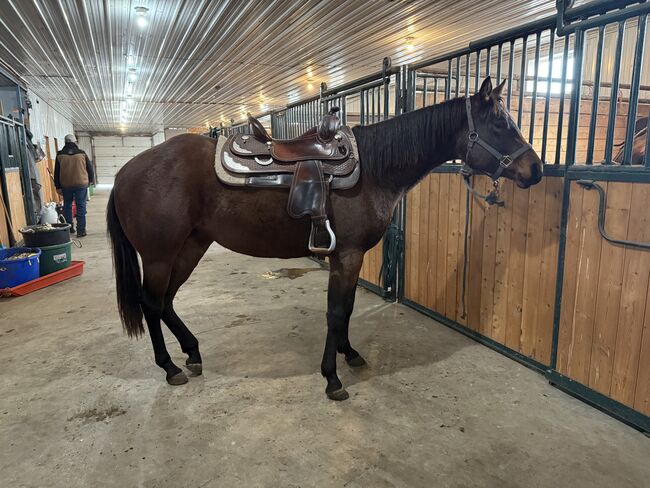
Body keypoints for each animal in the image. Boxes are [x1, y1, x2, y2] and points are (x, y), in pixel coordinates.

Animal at [107, 77, 543, 400]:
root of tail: (127, 171)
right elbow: (335, 313)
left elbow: (346, 310)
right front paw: (332, 379)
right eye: (501, 124)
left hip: (190, 247)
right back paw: (170, 367)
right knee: (151, 303)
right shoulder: (347, 255)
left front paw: (350, 354)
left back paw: (192, 353)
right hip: (161, 255)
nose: (537, 169)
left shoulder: (348, 258)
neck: (375, 169)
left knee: (166, 301)